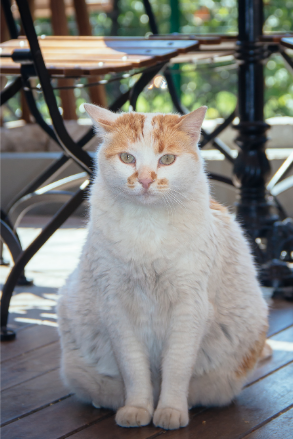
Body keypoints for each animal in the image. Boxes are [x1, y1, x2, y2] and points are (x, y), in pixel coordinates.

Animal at [56, 105, 268, 432]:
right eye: (127, 158)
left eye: (167, 159)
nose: (145, 180)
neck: (148, 226)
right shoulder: (115, 305)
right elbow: (134, 368)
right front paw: (136, 408)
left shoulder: (189, 305)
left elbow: (177, 367)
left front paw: (170, 410)